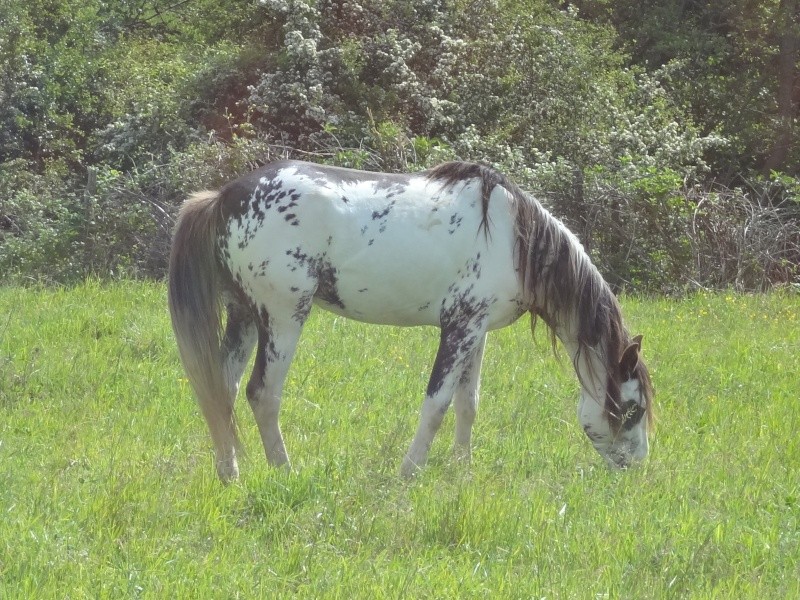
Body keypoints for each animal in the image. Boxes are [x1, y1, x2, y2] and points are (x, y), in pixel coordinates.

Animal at [167, 157, 648, 480]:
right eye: (631, 408)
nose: (637, 469)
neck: (514, 239)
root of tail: (223, 199)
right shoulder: (458, 328)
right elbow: (436, 406)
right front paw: (409, 473)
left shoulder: (476, 333)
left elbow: (468, 405)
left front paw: (461, 472)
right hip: (283, 319)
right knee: (262, 394)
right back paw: (284, 473)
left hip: (245, 316)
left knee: (221, 390)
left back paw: (229, 474)